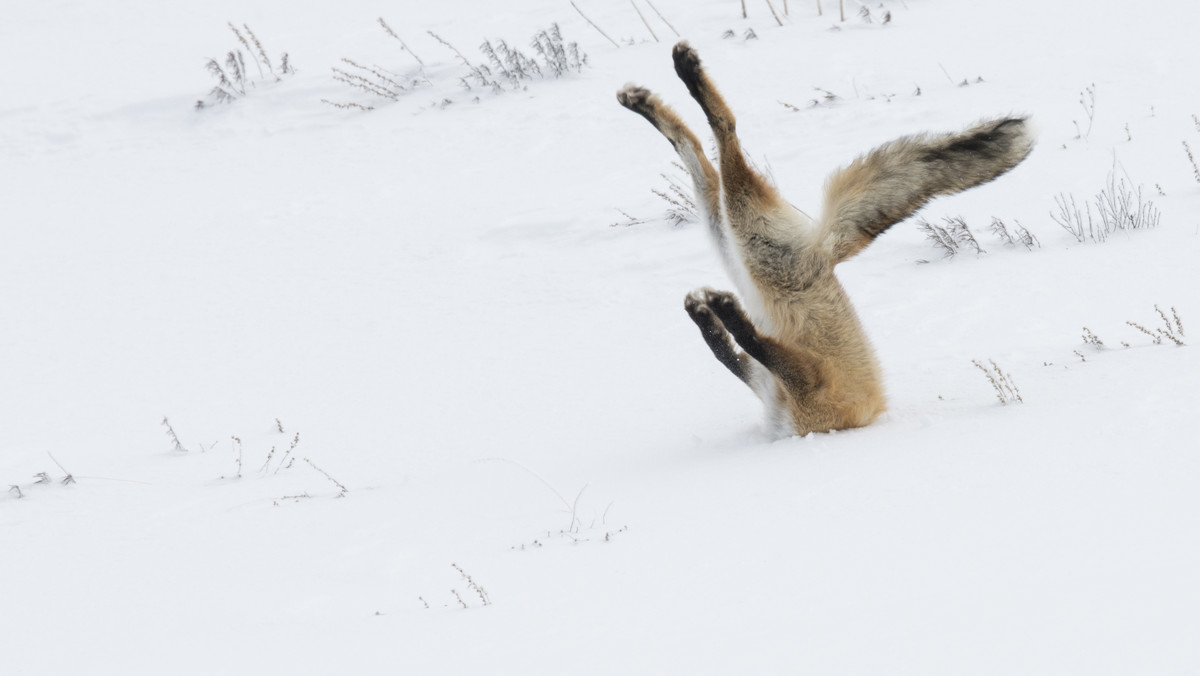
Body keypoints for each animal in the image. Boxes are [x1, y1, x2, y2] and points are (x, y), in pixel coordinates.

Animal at [619, 42, 1032, 437]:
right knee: (696, 150)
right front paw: (708, 315)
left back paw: (685, 75)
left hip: (747, 238)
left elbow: (747, 344)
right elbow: (728, 351)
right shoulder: (770, 382)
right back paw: (646, 99)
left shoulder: (806, 385)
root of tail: (826, 251)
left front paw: (720, 311)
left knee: (724, 132)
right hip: (731, 236)